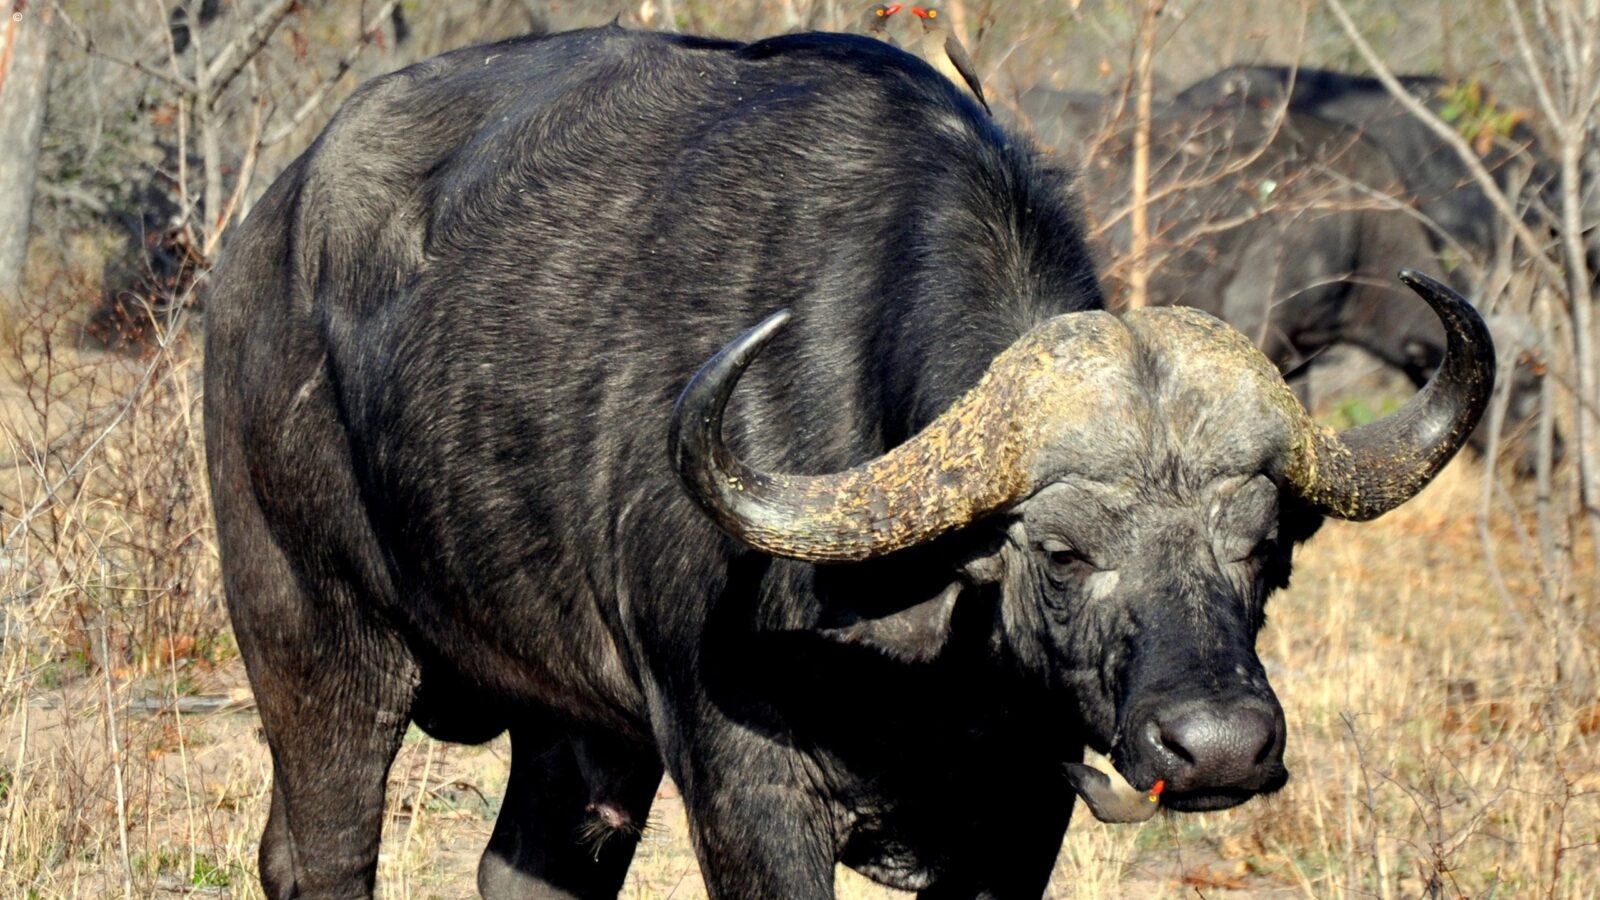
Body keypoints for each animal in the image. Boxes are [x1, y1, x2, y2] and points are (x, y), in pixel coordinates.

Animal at [205, 26, 1495, 899]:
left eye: (1263, 551)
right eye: (1061, 553)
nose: (1221, 745)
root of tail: (263, 236)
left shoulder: (1021, 814)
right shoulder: (748, 793)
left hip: (572, 720)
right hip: (314, 641)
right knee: (314, 853)